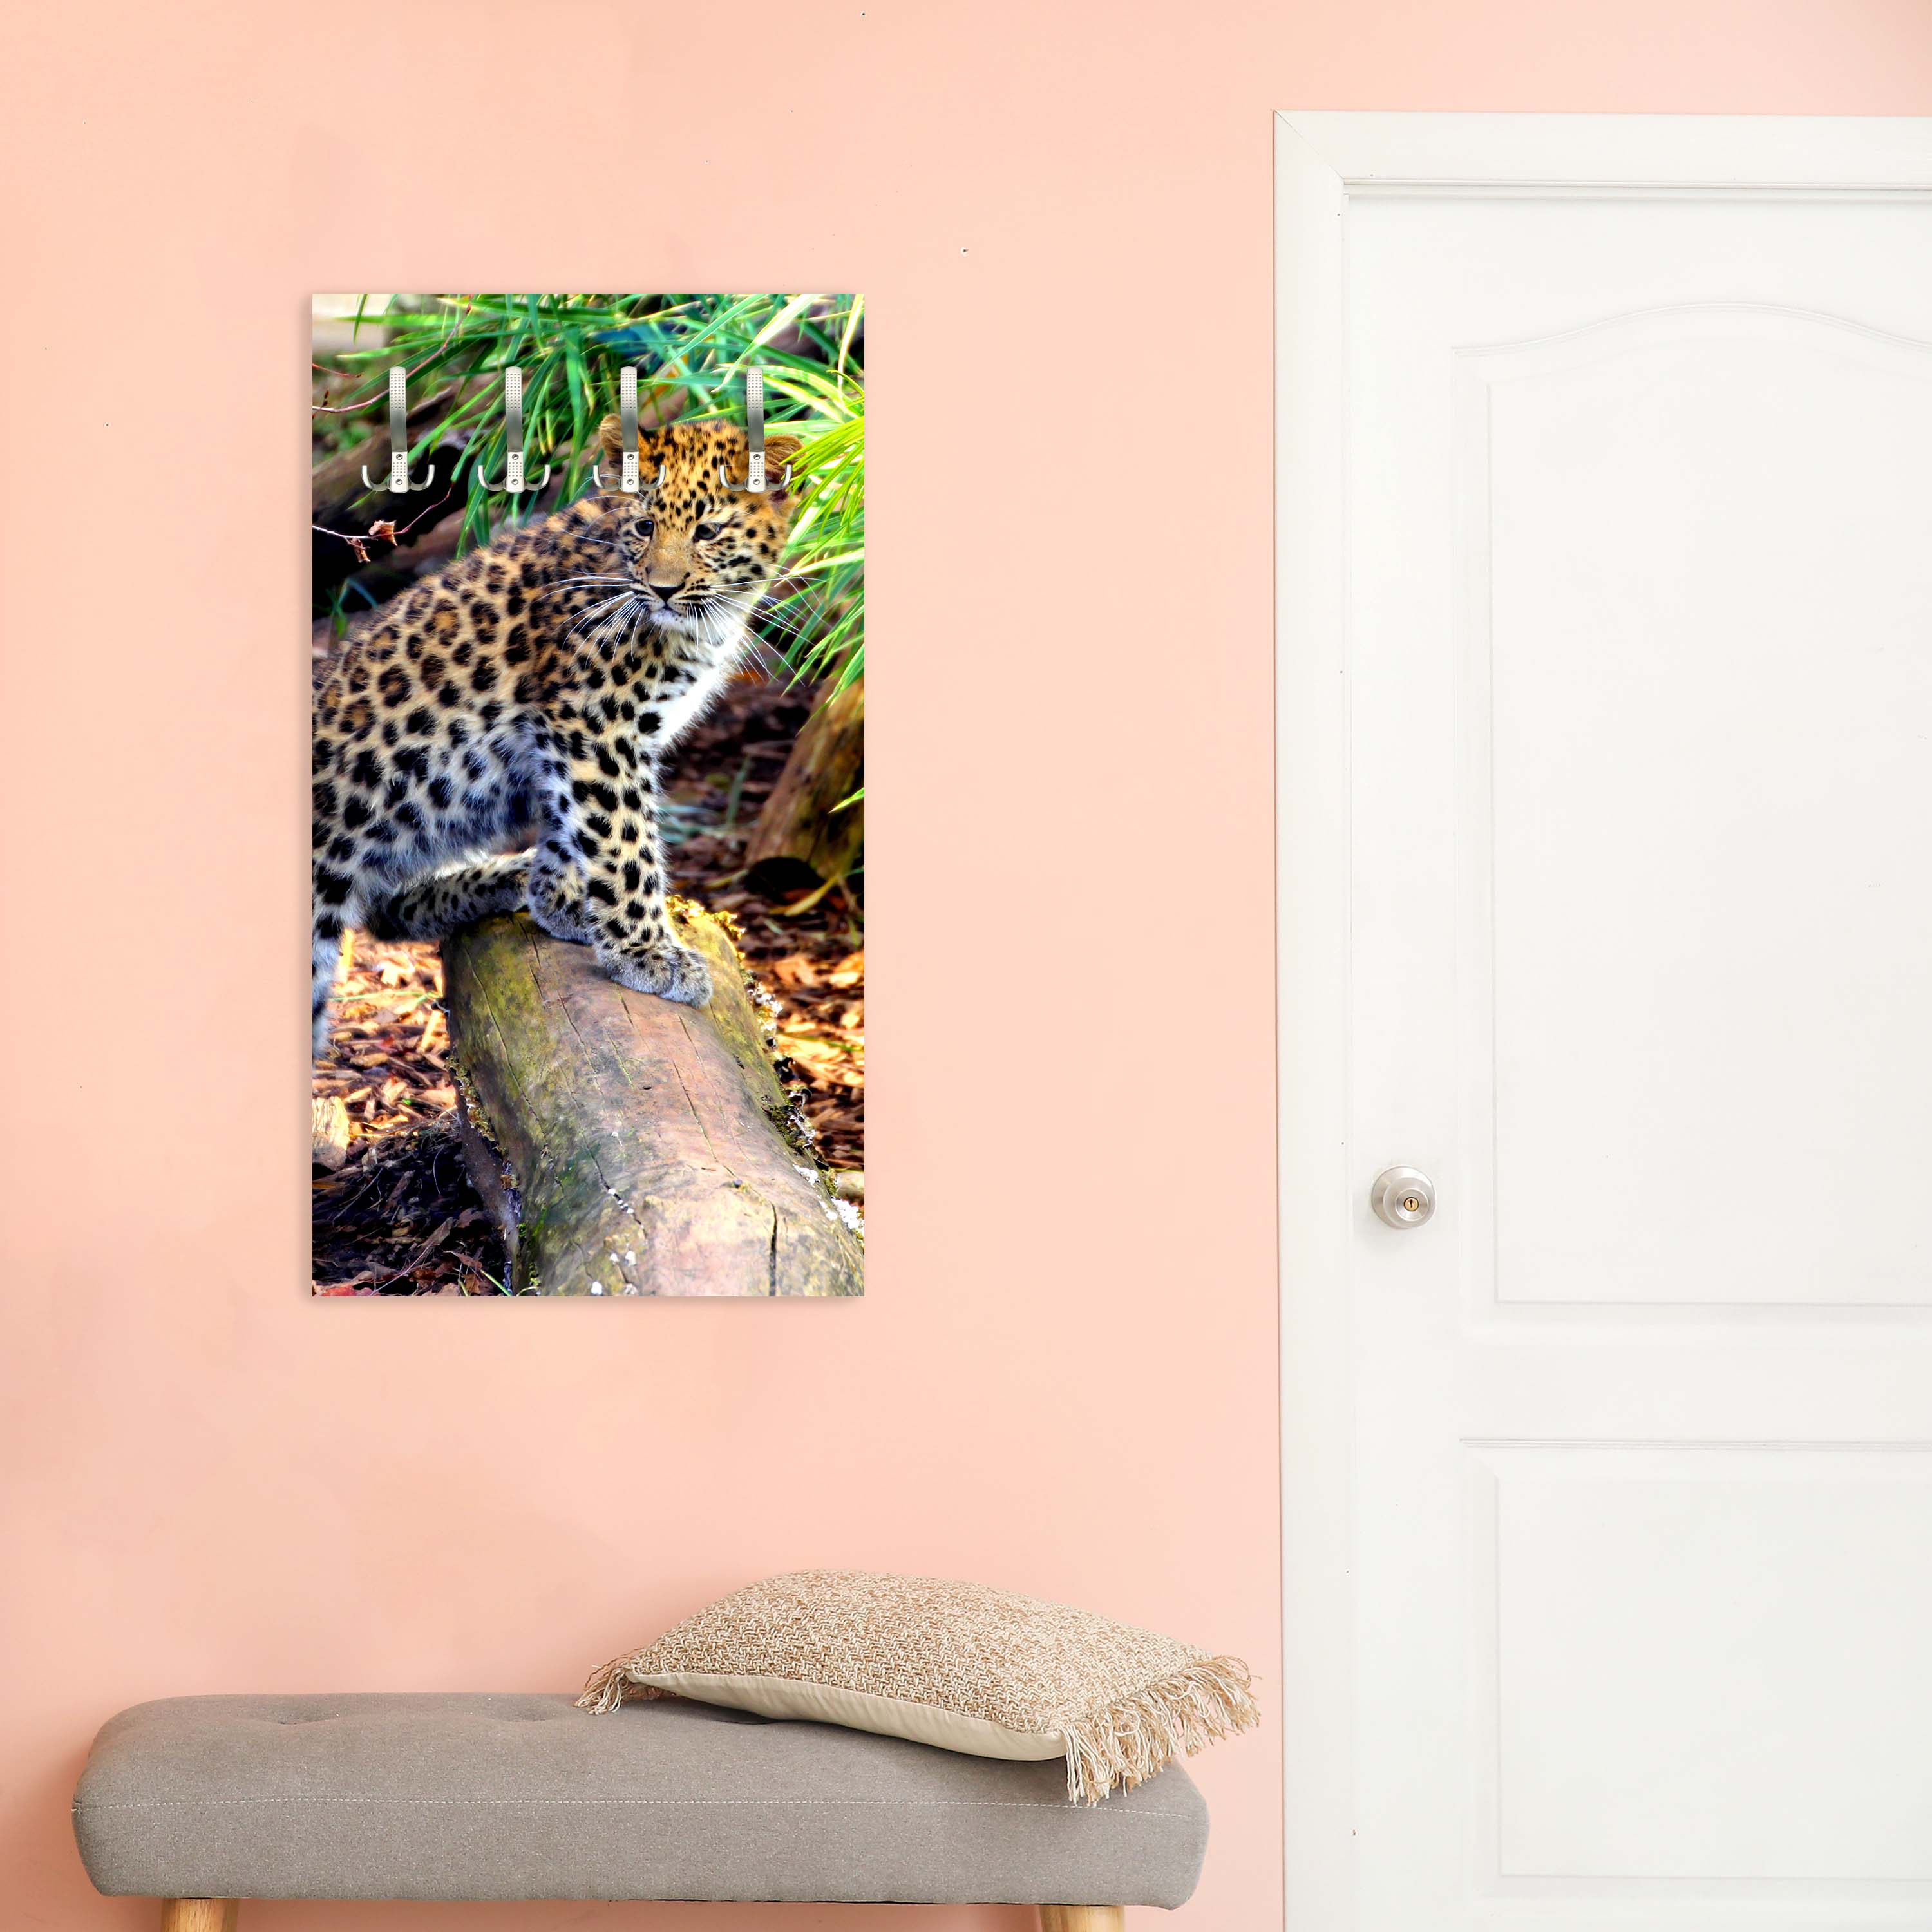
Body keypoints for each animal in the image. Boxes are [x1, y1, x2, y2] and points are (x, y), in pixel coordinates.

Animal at [312, 413, 803, 1054]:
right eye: (645, 526)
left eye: (708, 531)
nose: (665, 589)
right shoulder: (596, 725)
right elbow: (623, 839)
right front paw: (648, 951)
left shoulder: (574, 742)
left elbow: (573, 822)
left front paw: (560, 897)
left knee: (386, 907)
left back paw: (506, 876)